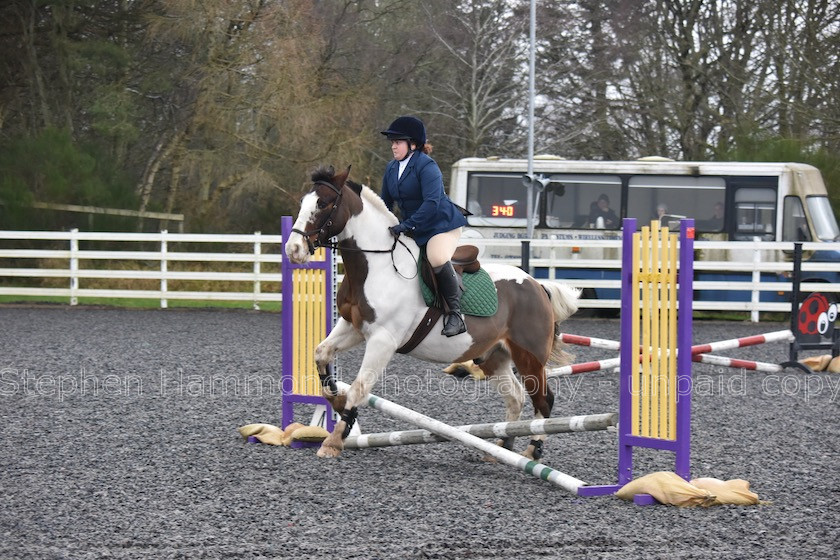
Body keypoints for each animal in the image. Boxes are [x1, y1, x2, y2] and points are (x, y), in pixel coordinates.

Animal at [286, 165, 580, 460]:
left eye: (323, 204)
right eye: (302, 202)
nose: (293, 250)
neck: (376, 266)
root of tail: (537, 286)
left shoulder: (383, 340)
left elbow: (360, 386)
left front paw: (334, 440)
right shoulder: (352, 327)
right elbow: (321, 353)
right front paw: (335, 399)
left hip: (529, 358)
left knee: (544, 400)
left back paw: (532, 450)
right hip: (494, 357)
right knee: (516, 397)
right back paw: (501, 446)